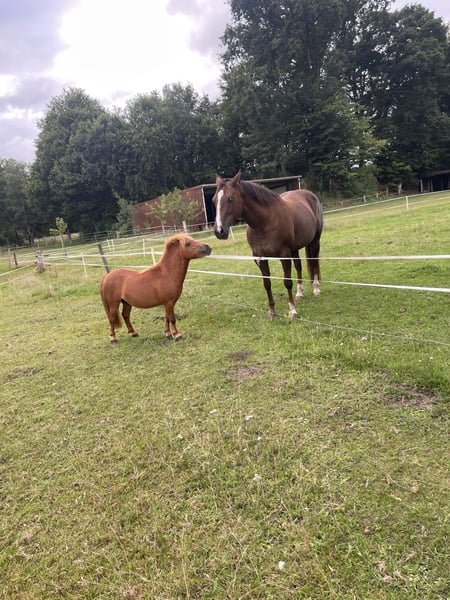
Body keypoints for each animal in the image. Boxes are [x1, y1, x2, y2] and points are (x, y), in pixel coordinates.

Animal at [213, 171, 323, 317]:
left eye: (230, 199)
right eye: (214, 200)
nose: (219, 231)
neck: (265, 223)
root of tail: (311, 195)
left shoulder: (284, 255)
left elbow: (287, 282)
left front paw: (292, 310)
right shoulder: (260, 258)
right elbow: (267, 283)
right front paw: (271, 311)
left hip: (315, 241)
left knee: (314, 262)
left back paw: (316, 289)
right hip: (294, 249)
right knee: (298, 266)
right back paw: (299, 293)